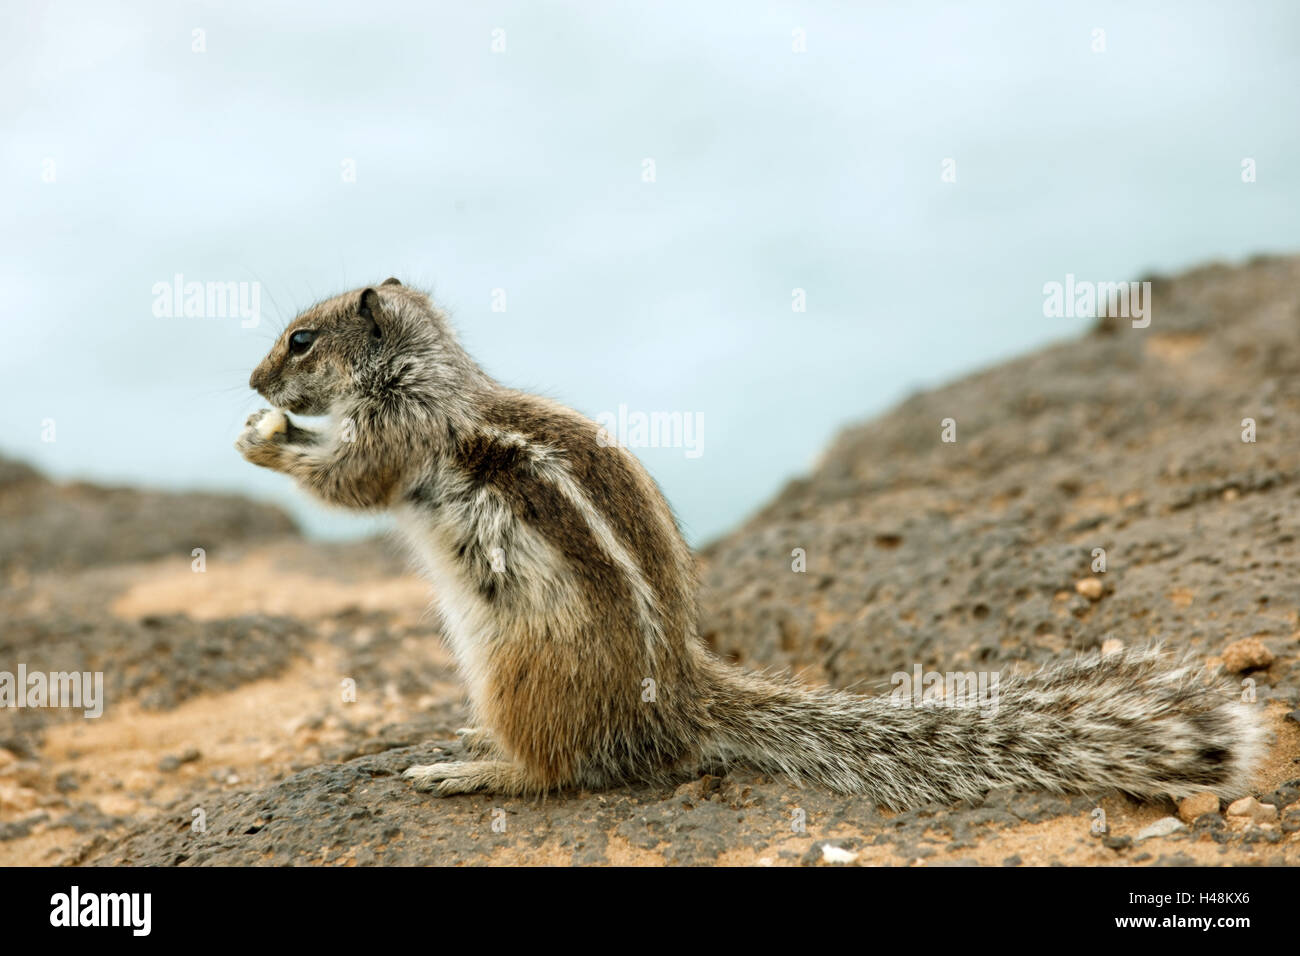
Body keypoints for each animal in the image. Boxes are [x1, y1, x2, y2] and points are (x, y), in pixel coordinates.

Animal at [239, 280, 1263, 806]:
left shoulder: (400, 432)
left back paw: (467, 768)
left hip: (522, 672)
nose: (249, 381)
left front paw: (268, 442)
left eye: (301, 338)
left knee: (557, 769)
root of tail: (684, 696)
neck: (427, 369)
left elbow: (351, 481)